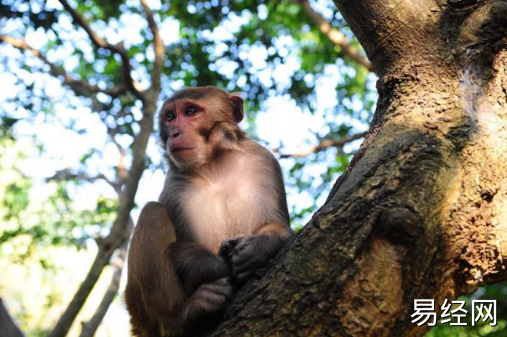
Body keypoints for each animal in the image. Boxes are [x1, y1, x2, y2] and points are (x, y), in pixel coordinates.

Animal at [124, 86, 294, 336]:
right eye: (170, 116)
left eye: (190, 111)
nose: (174, 133)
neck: (215, 168)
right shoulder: (176, 186)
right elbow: (180, 249)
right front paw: (221, 265)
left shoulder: (262, 161)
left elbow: (277, 225)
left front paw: (258, 247)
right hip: (139, 313)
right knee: (152, 212)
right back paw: (182, 317)